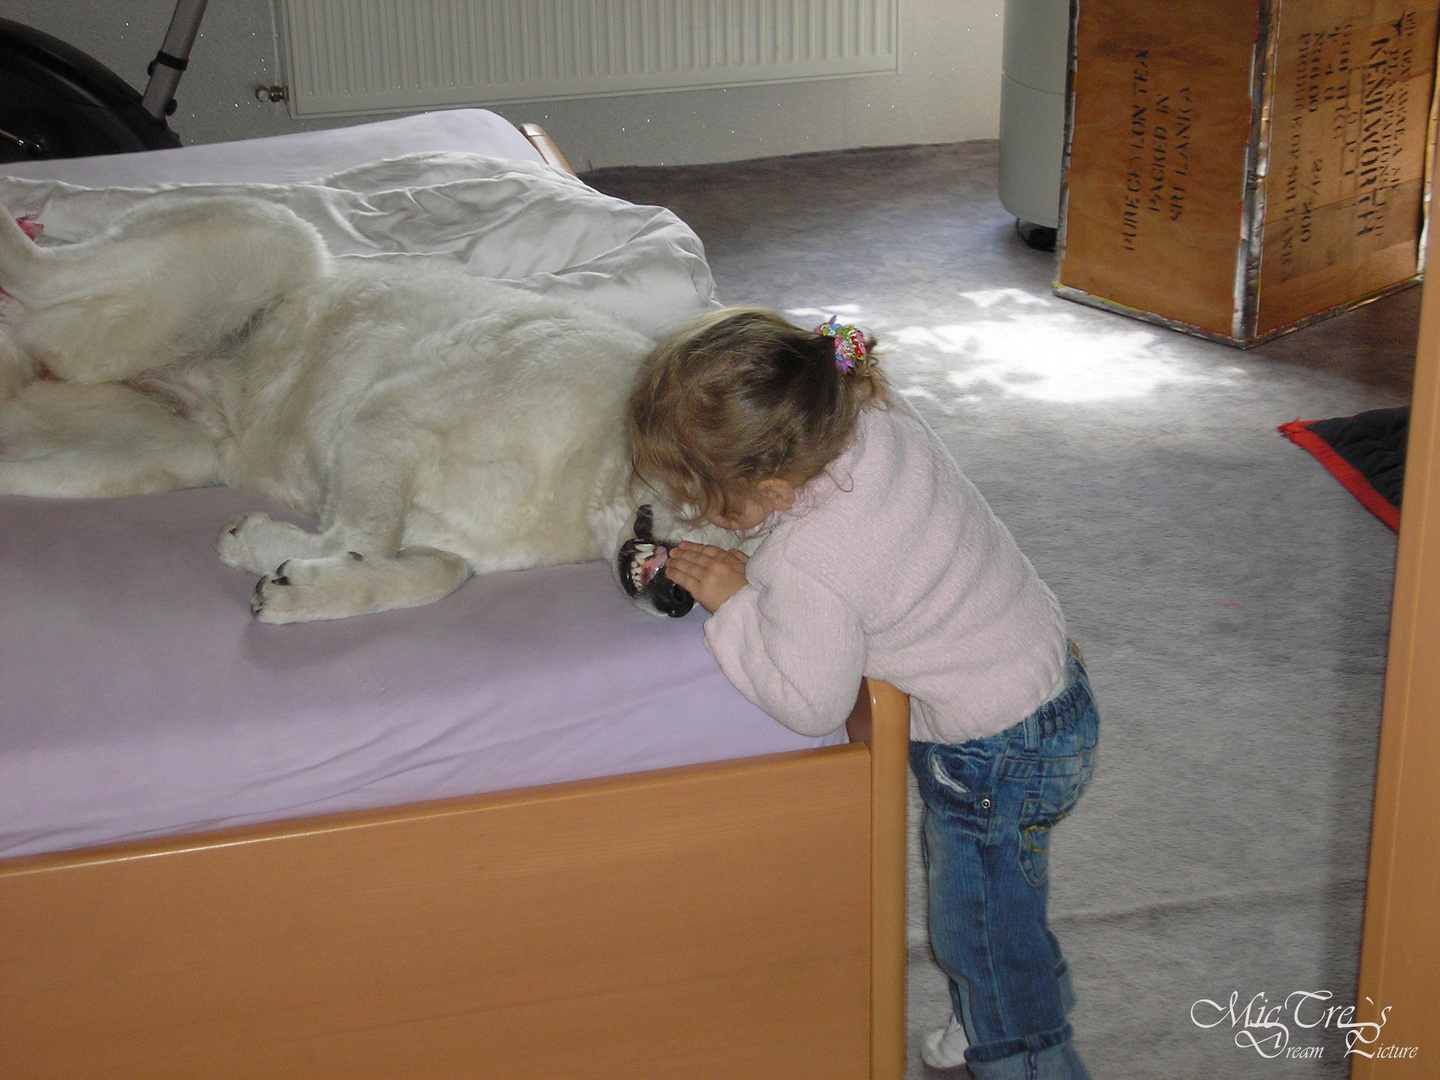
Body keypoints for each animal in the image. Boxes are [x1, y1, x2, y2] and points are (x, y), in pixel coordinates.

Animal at [0, 190, 714, 622]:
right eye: (728, 509)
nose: (683, 603)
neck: (588, 471)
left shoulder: (450, 543)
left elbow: (431, 572)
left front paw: (296, 579)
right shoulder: (386, 420)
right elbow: (362, 536)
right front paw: (272, 553)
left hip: (155, 450)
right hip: (272, 241)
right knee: (40, 273)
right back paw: (16, 227)